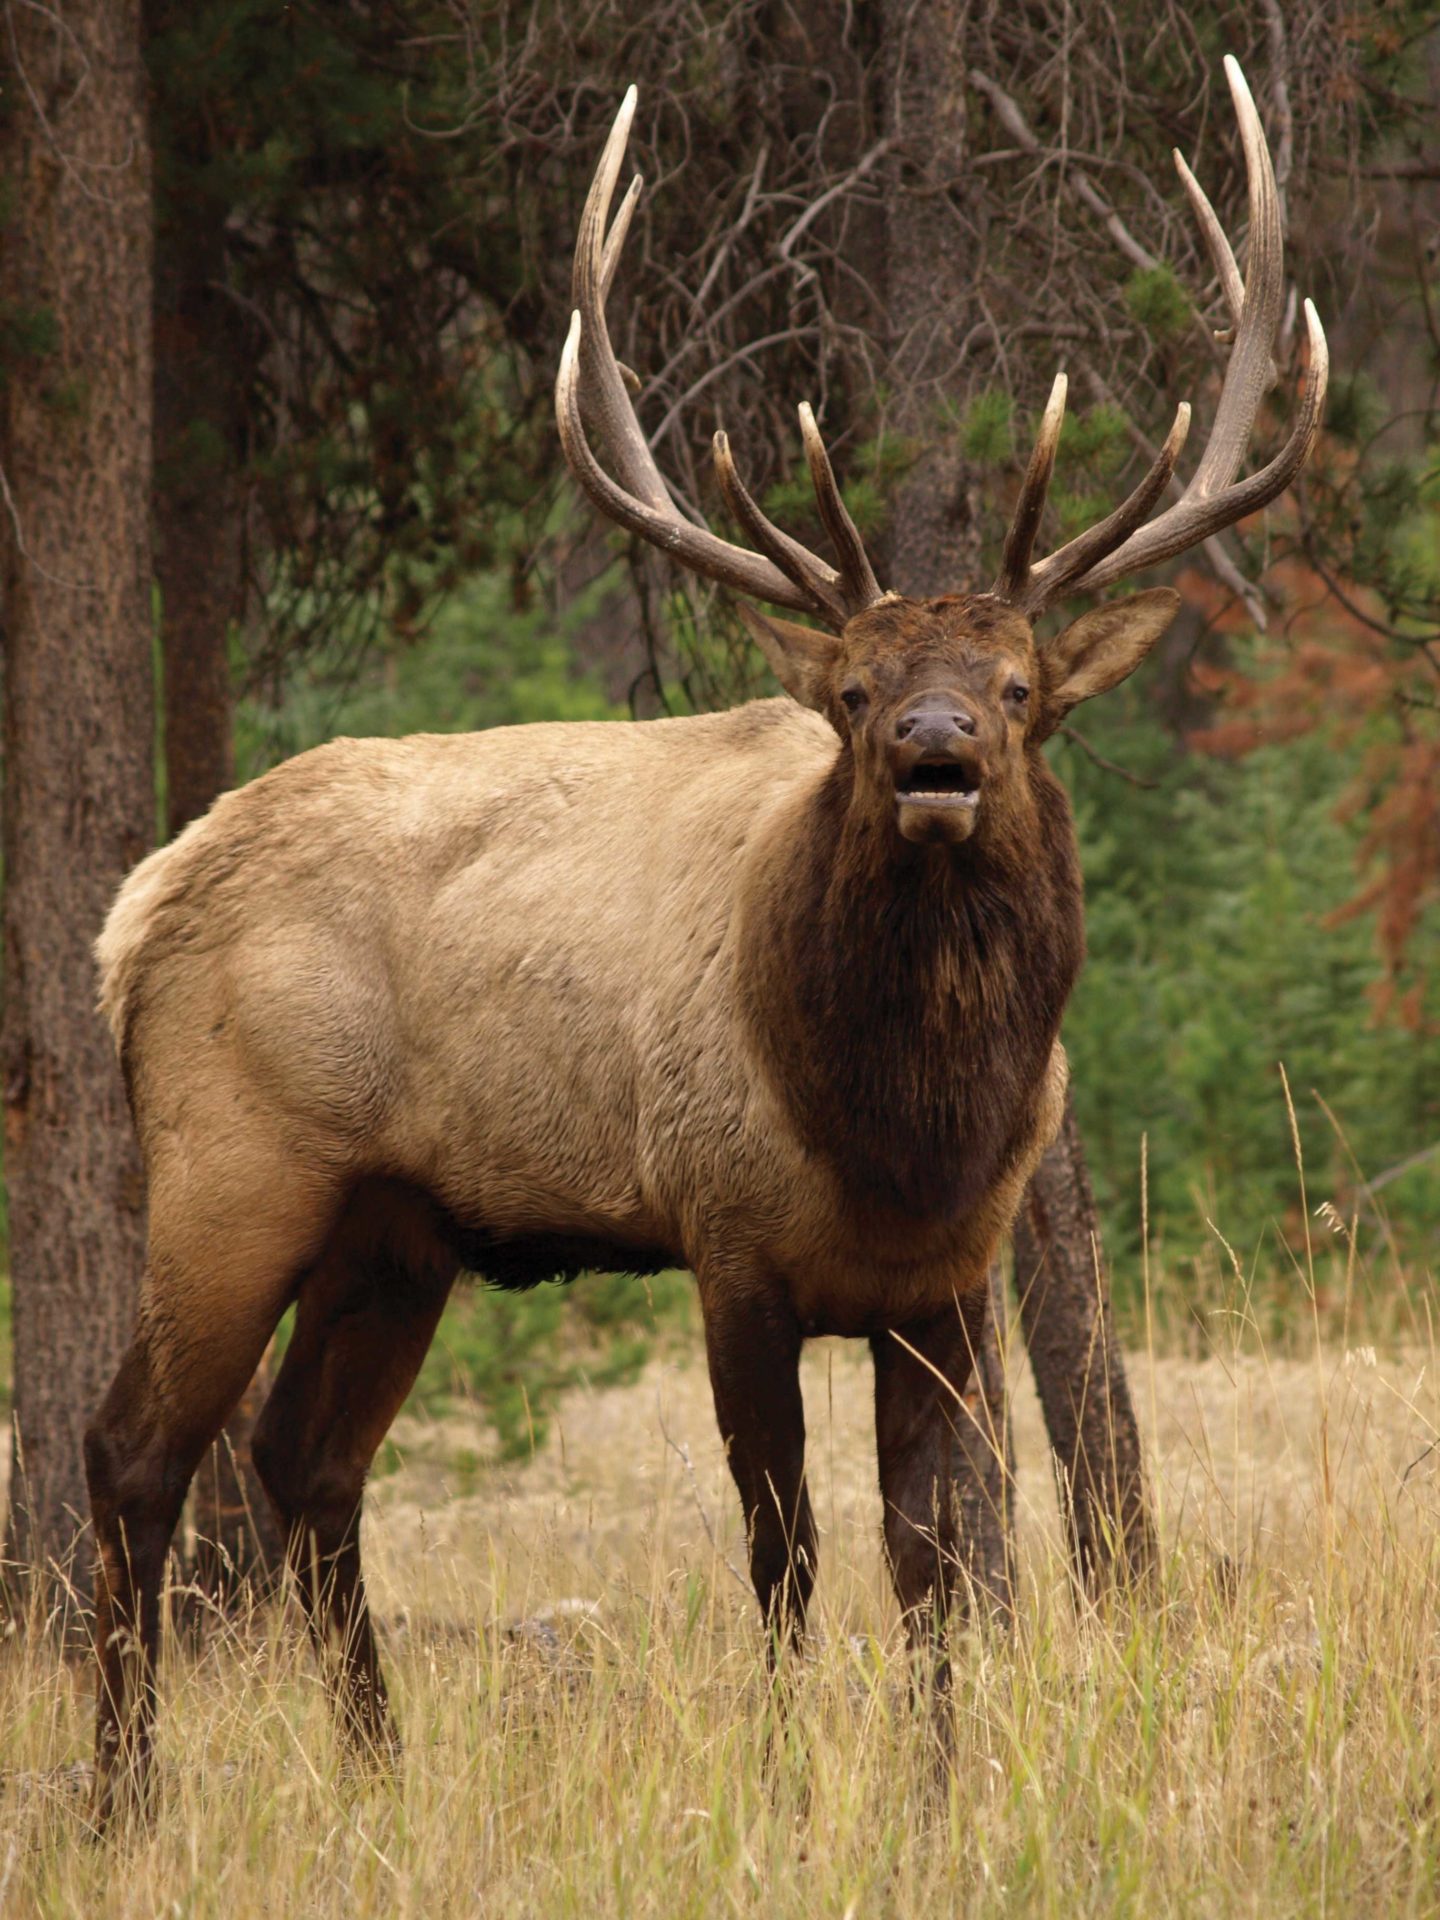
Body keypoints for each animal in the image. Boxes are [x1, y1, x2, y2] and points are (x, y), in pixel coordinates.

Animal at [84, 60, 1328, 1820]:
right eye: (855, 691)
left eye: (1021, 687)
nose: (935, 751)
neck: (899, 1135)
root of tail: (136, 913)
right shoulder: (728, 1237)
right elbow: (782, 1551)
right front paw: (796, 1782)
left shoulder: (949, 1280)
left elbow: (935, 1559)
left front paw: (934, 1788)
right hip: (230, 1164)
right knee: (135, 1452)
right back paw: (126, 1799)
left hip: (396, 1223)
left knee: (306, 1463)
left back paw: (382, 1772)